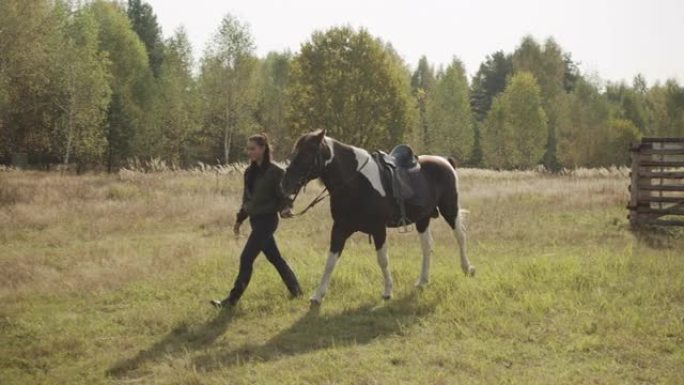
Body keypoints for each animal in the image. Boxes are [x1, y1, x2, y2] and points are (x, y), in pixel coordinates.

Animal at [284, 128, 476, 304]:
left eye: (307, 154)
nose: (285, 184)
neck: (355, 182)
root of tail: (445, 161)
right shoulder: (340, 228)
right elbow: (331, 261)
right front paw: (318, 296)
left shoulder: (378, 229)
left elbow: (383, 260)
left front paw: (387, 291)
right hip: (423, 218)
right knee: (427, 246)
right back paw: (422, 281)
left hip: (449, 209)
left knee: (460, 236)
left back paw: (467, 268)